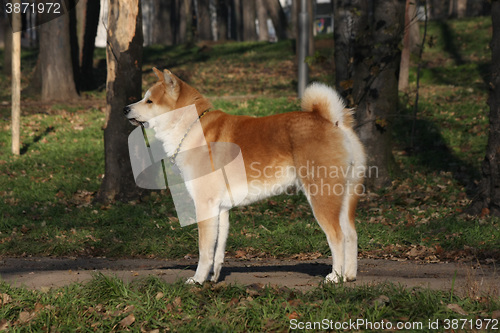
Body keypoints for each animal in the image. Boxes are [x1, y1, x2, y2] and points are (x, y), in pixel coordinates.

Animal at [123, 67, 366, 282]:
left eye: (149, 101)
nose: (125, 108)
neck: (192, 127)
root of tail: (332, 121)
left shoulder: (204, 204)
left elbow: (204, 250)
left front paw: (198, 280)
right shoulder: (220, 208)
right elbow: (218, 249)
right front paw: (213, 278)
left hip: (322, 196)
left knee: (337, 237)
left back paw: (335, 277)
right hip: (345, 197)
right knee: (351, 234)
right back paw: (349, 275)